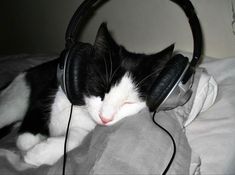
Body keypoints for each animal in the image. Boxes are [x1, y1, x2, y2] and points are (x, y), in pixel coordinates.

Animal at [0, 22, 173, 167]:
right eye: (99, 89)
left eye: (129, 102)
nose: (105, 118)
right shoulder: (45, 94)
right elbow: (24, 140)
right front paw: (35, 145)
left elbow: (76, 140)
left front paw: (39, 154)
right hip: (14, 100)